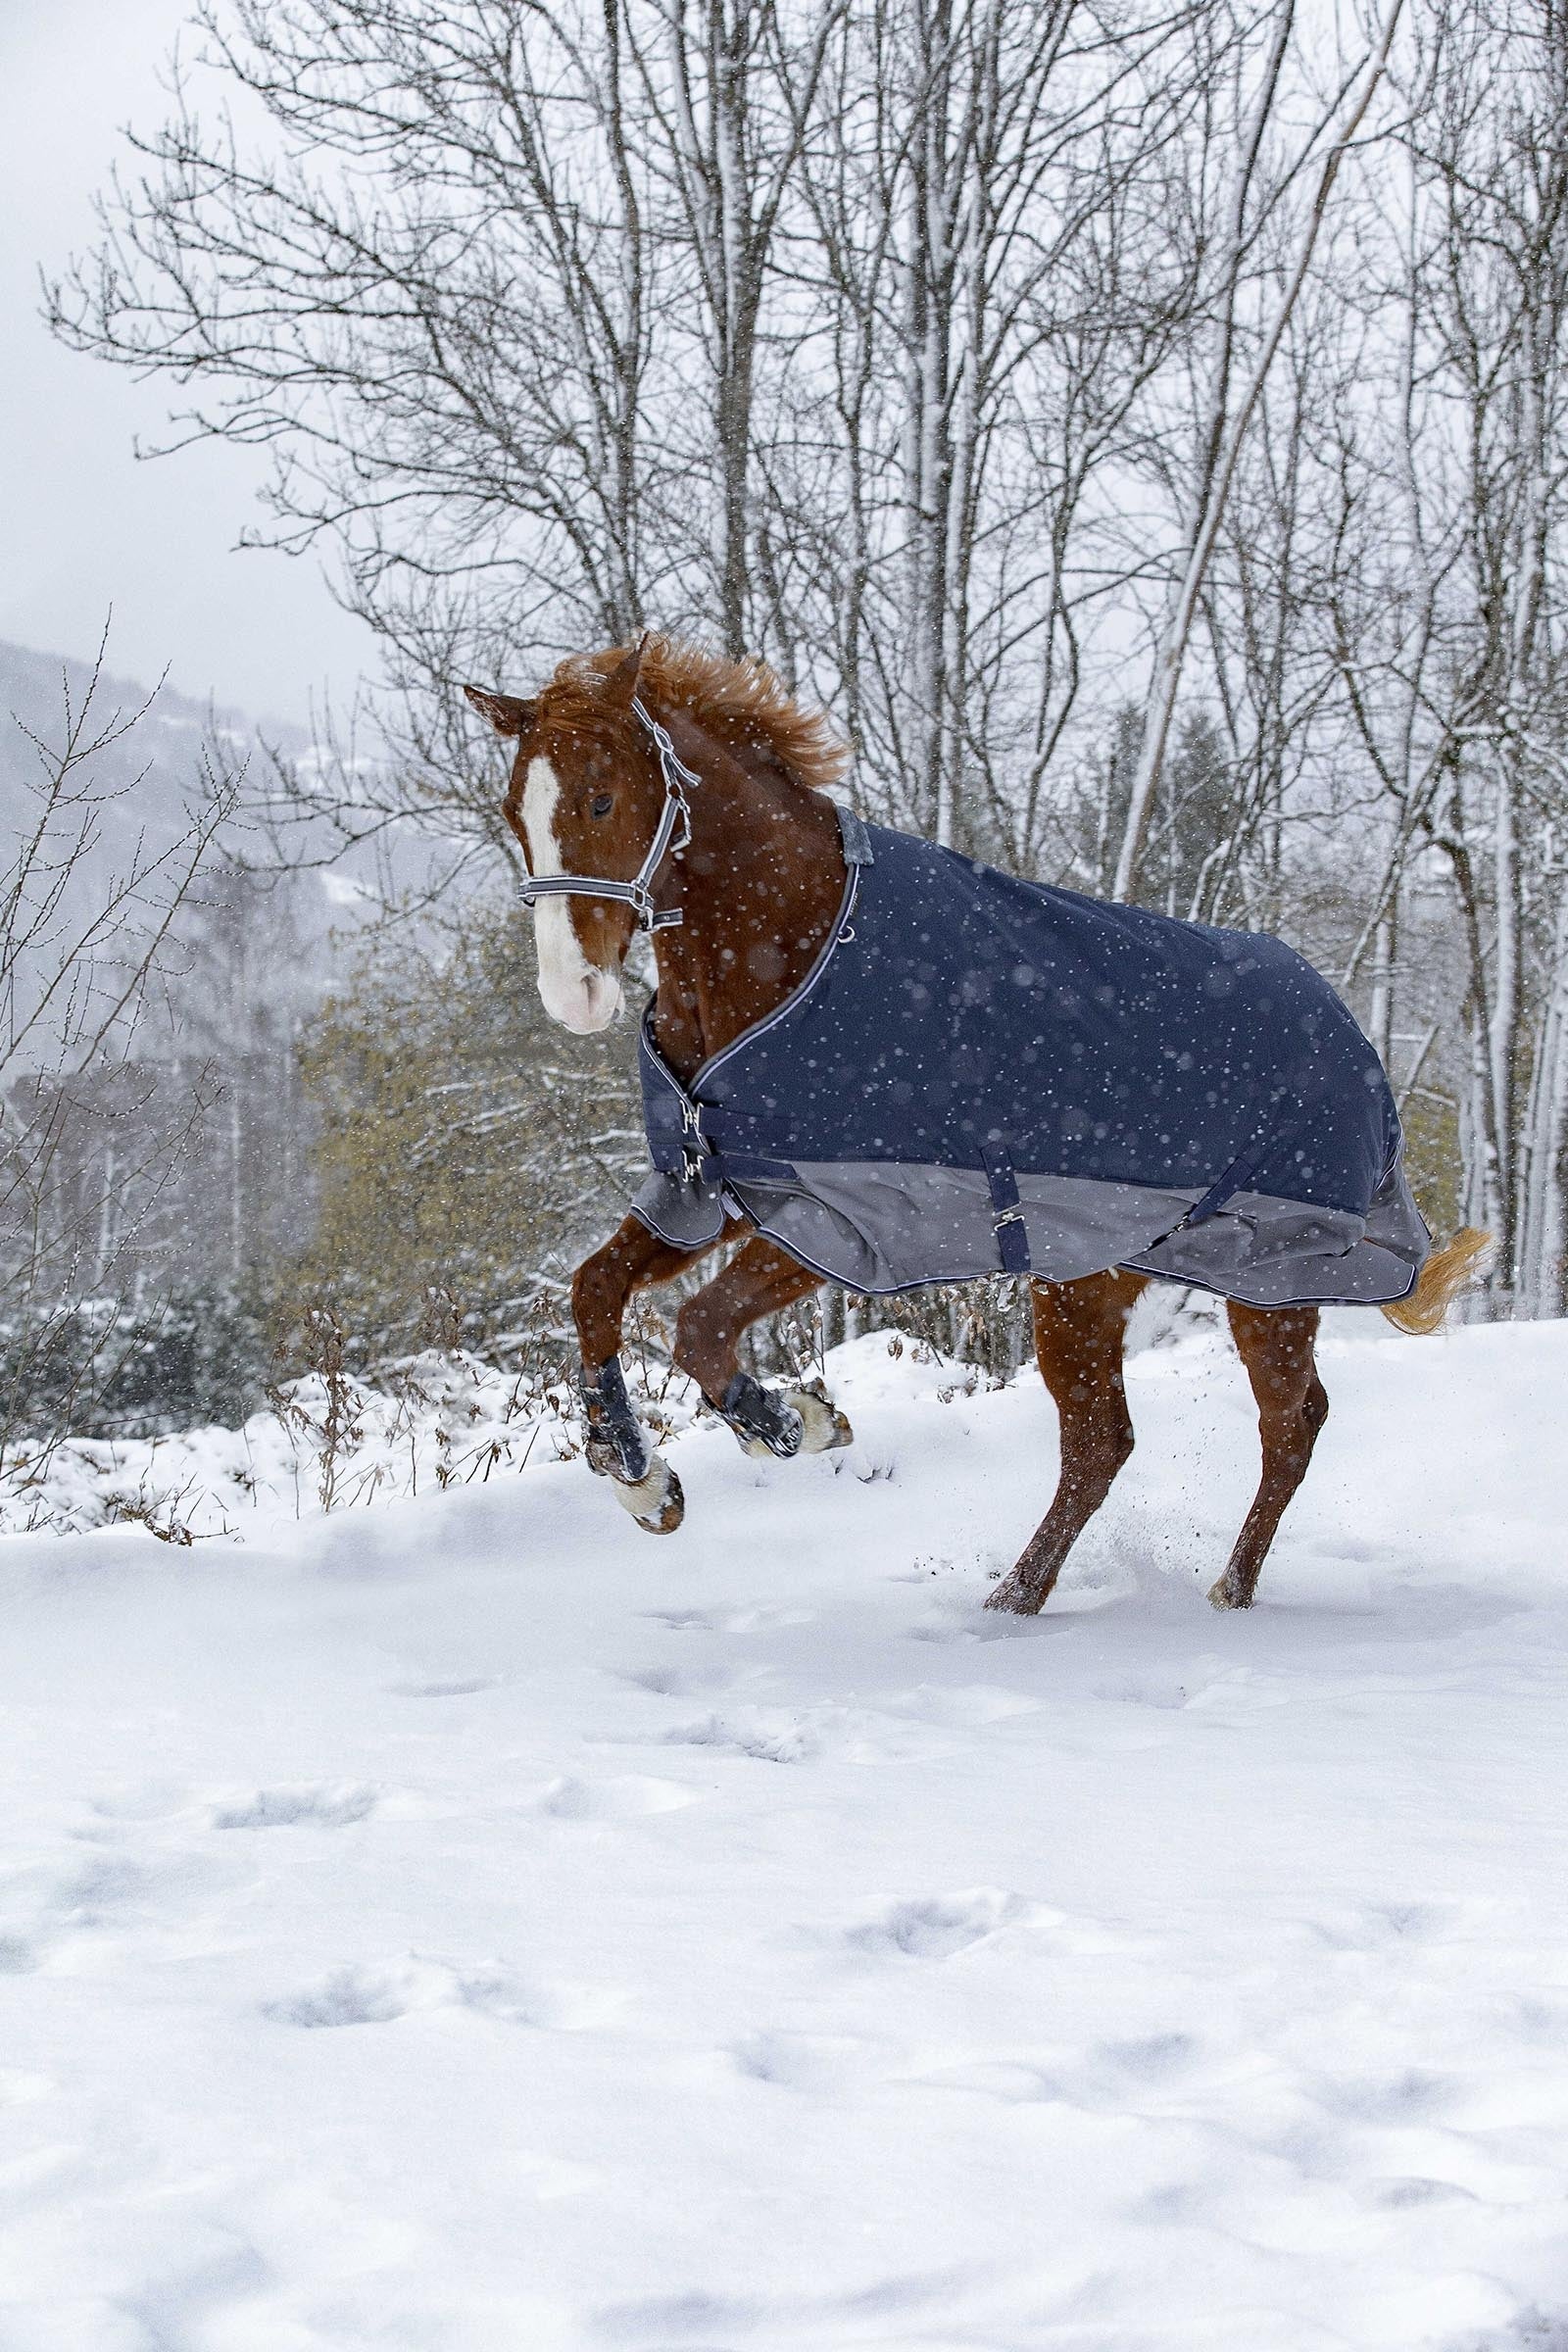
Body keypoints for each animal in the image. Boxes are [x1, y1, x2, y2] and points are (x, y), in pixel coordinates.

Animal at [465, 638, 1484, 1614]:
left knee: (1288, 1425)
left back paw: (1225, 1589)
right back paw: (1018, 1595)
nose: (574, 995)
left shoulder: (848, 1214)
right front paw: (641, 1478)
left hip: (1271, 1281)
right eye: (516, 810)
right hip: (1086, 1282)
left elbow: (701, 1329)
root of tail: (1349, 1029)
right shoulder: (710, 1185)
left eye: (601, 798)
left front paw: (797, 1424)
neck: (795, 951)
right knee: (1103, 1444)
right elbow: (595, 1290)